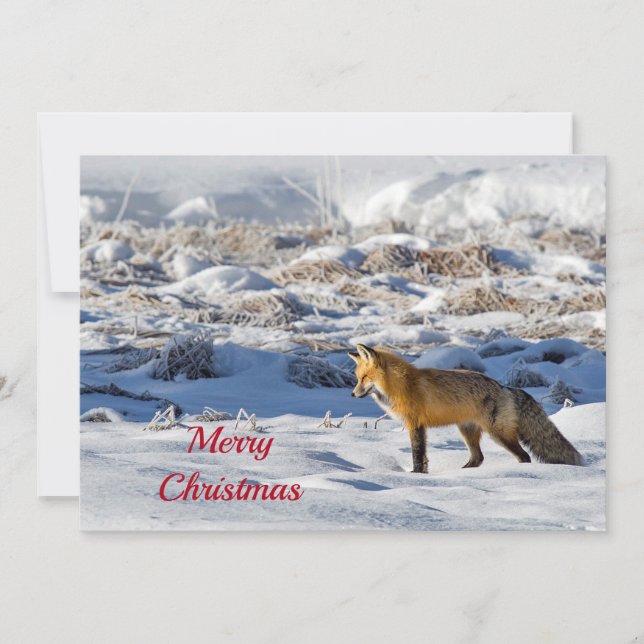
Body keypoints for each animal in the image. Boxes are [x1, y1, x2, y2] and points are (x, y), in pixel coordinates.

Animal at [348, 344, 583, 473]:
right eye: (358, 378)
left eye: (364, 378)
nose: (352, 394)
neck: (401, 385)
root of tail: (505, 387)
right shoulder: (419, 426)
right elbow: (423, 457)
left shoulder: (415, 424)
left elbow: (417, 454)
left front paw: (415, 475)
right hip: (467, 431)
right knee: (478, 458)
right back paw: (463, 474)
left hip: (499, 434)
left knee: (523, 455)